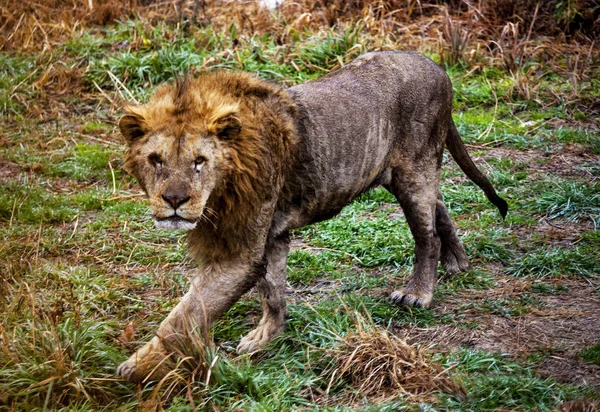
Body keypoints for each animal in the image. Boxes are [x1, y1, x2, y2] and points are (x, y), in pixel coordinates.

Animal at [116, 51, 506, 384]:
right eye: (156, 160)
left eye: (199, 161)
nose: (175, 200)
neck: (223, 187)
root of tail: (436, 65)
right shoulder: (270, 235)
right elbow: (272, 291)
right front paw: (266, 336)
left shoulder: (239, 254)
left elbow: (183, 318)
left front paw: (132, 370)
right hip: (411, 175)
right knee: (440, 206)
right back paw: (458, 262)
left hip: (415, 170)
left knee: (427, 235)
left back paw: (418, 294)